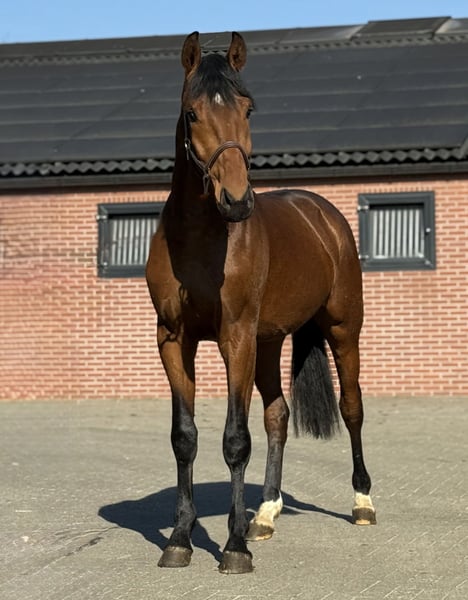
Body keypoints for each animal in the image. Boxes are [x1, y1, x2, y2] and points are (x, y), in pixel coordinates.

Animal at [146, 31, 376, 574]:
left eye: (248, 109)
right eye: (192, 113)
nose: (236, 201)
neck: (200, 242)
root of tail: (323, 214)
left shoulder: (235, 339)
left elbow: (235, 439)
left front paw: (233, 548)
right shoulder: (174, 341)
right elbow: (185, 437)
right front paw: (180, 539)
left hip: (342, 329)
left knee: (351, 407)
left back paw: (362, 503)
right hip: (268, 343)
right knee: (278, 415)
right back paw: (266, 513)